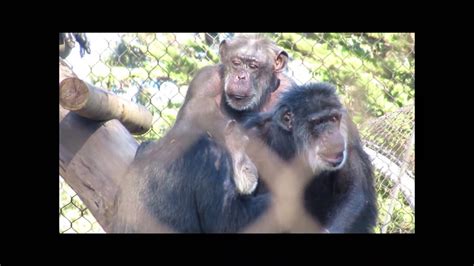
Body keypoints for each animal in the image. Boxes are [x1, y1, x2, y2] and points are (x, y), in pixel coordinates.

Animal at [113, 82, 376, 233]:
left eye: (333, 119)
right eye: (318, 122)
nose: (331, 133)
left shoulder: (348, 133)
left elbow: (355, 191)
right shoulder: (247, 138)